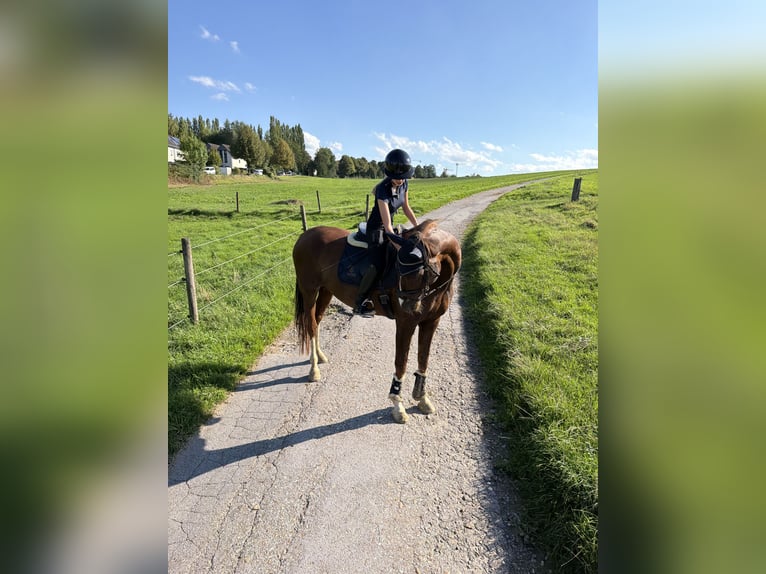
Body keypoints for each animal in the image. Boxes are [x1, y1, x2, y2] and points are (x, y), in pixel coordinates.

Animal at [292, 219, 462, 423]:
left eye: (420, 272)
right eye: (399, 270)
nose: (407, 306)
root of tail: (305, 236)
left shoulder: (431, 321)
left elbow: (423, 358)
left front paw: (422, 398)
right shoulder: (405, 323)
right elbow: (401, 362)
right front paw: (398, 406)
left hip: (326, 290)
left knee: (316, 322)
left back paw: (318, 356)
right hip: (309, 291)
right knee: (310, 324)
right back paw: (314, 369)